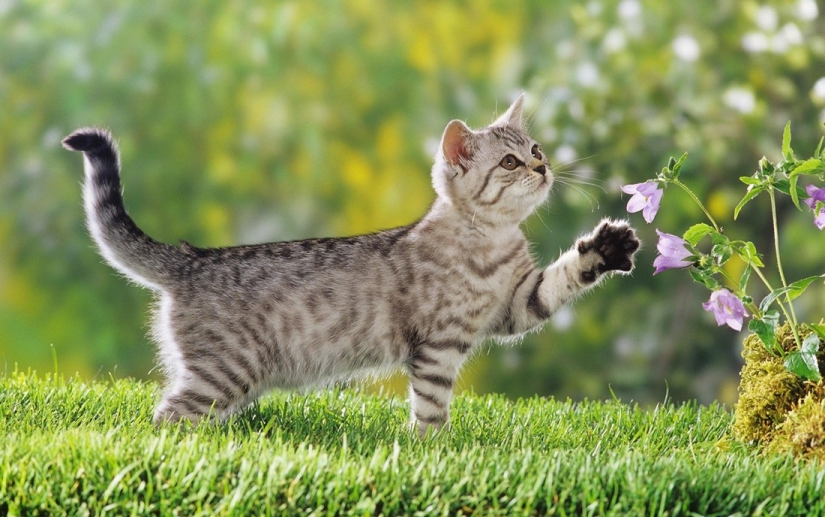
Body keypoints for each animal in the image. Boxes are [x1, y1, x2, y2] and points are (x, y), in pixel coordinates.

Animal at [64, 94, 640, 434]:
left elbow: (563, 278)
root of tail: (190, 259)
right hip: (224, 372)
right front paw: (434, 448)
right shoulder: (439, 344)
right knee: (165, 419)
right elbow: (432, 407)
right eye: (510, 161)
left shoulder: (517, 304)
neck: (491, 243)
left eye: (537, 149)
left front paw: (606, 246)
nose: (543, 168)